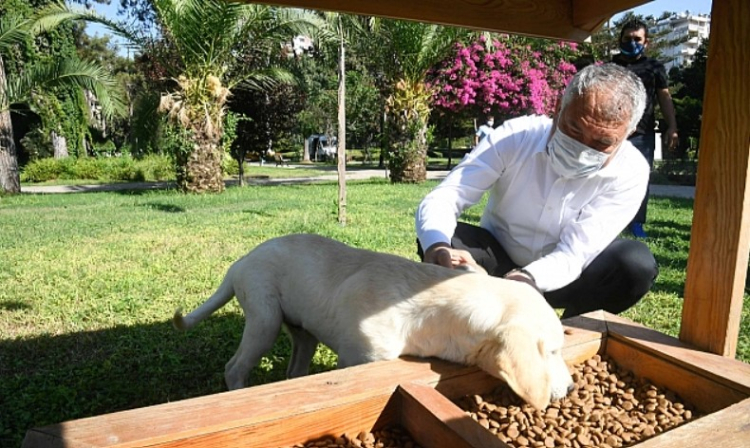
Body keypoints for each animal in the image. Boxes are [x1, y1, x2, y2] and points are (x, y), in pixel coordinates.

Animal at [175, 234, 576, 410]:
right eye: (552, 352)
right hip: (264, 318)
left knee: (294, 369)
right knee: (234, 367)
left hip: (302, 331)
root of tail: (240, 262)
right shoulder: (356, 358)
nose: (572, 389)